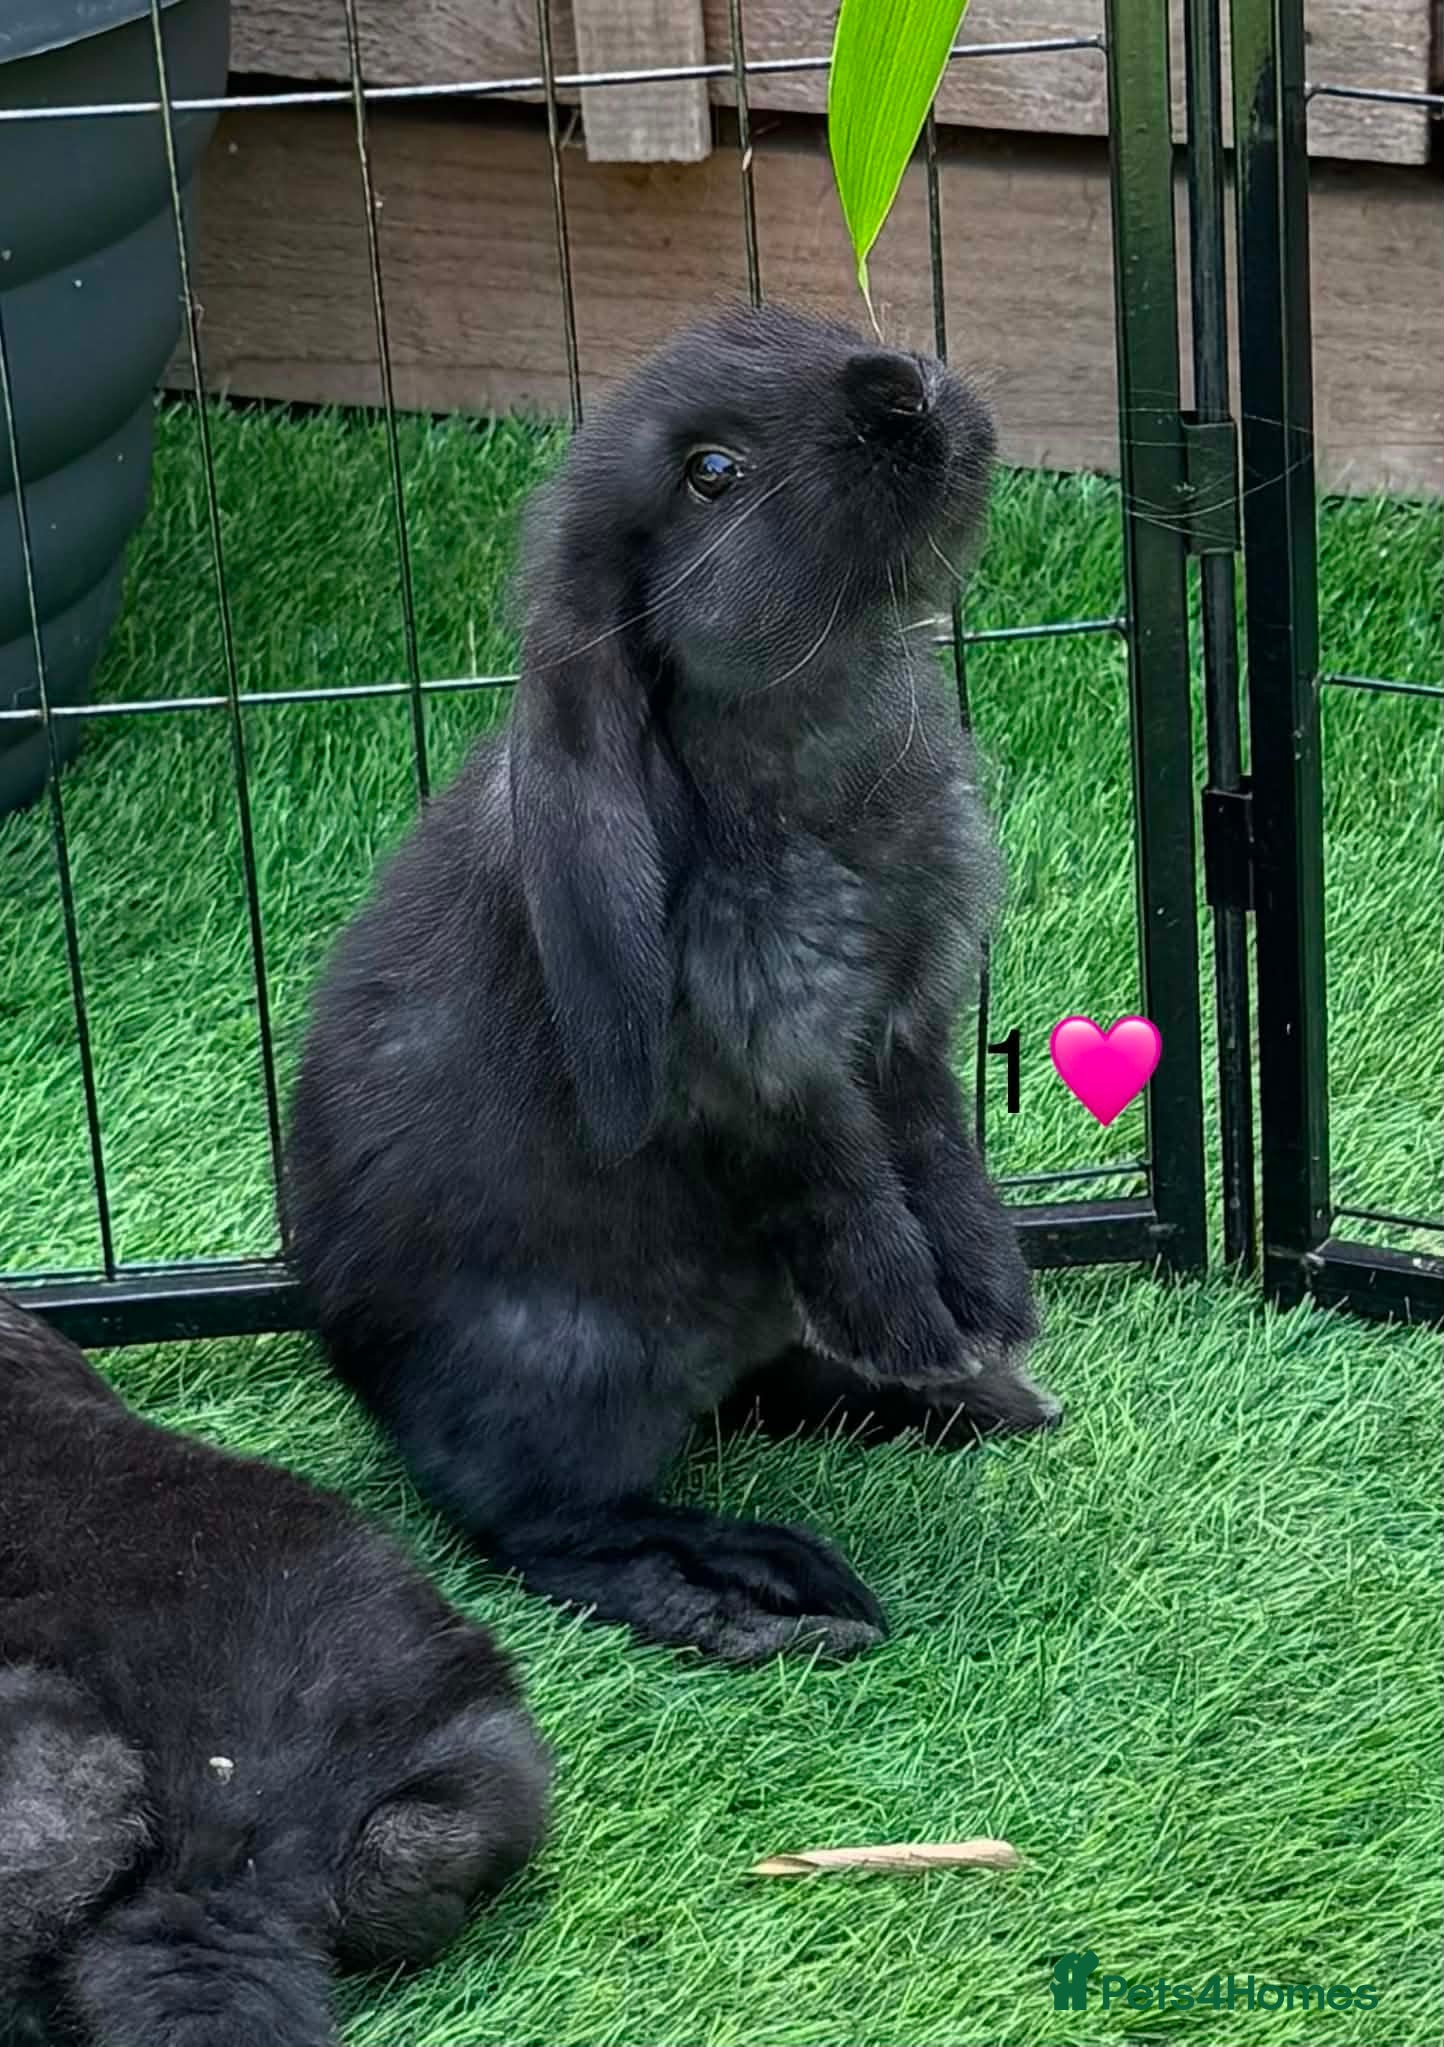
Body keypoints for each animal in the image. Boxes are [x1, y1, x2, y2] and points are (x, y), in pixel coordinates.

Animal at [286, 301, 1061, 1671]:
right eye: (710, 473)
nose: (903, 387)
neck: (809, 727)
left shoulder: (910, 1023)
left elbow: (941, 1154)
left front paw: (987, 1319)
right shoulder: (768, 1064)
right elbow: (845, 1188)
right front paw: (917, 1330)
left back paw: (969, 1404)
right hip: (574, 1373)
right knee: (544, 1526)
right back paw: (754, 1593)